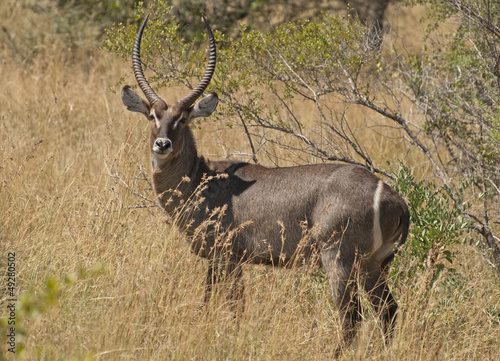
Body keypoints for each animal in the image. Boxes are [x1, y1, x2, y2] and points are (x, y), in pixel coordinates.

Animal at [122, 15, 410, 350]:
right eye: (152, 116)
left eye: (183, 118)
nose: (162, 144)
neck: (199, 179)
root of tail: (392, 197)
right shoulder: (217, 260)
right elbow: (210, 302)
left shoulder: (228, 256)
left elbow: (234, 307)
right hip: (373, 266)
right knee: (388, 310)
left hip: (339, 259)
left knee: (352, 316)